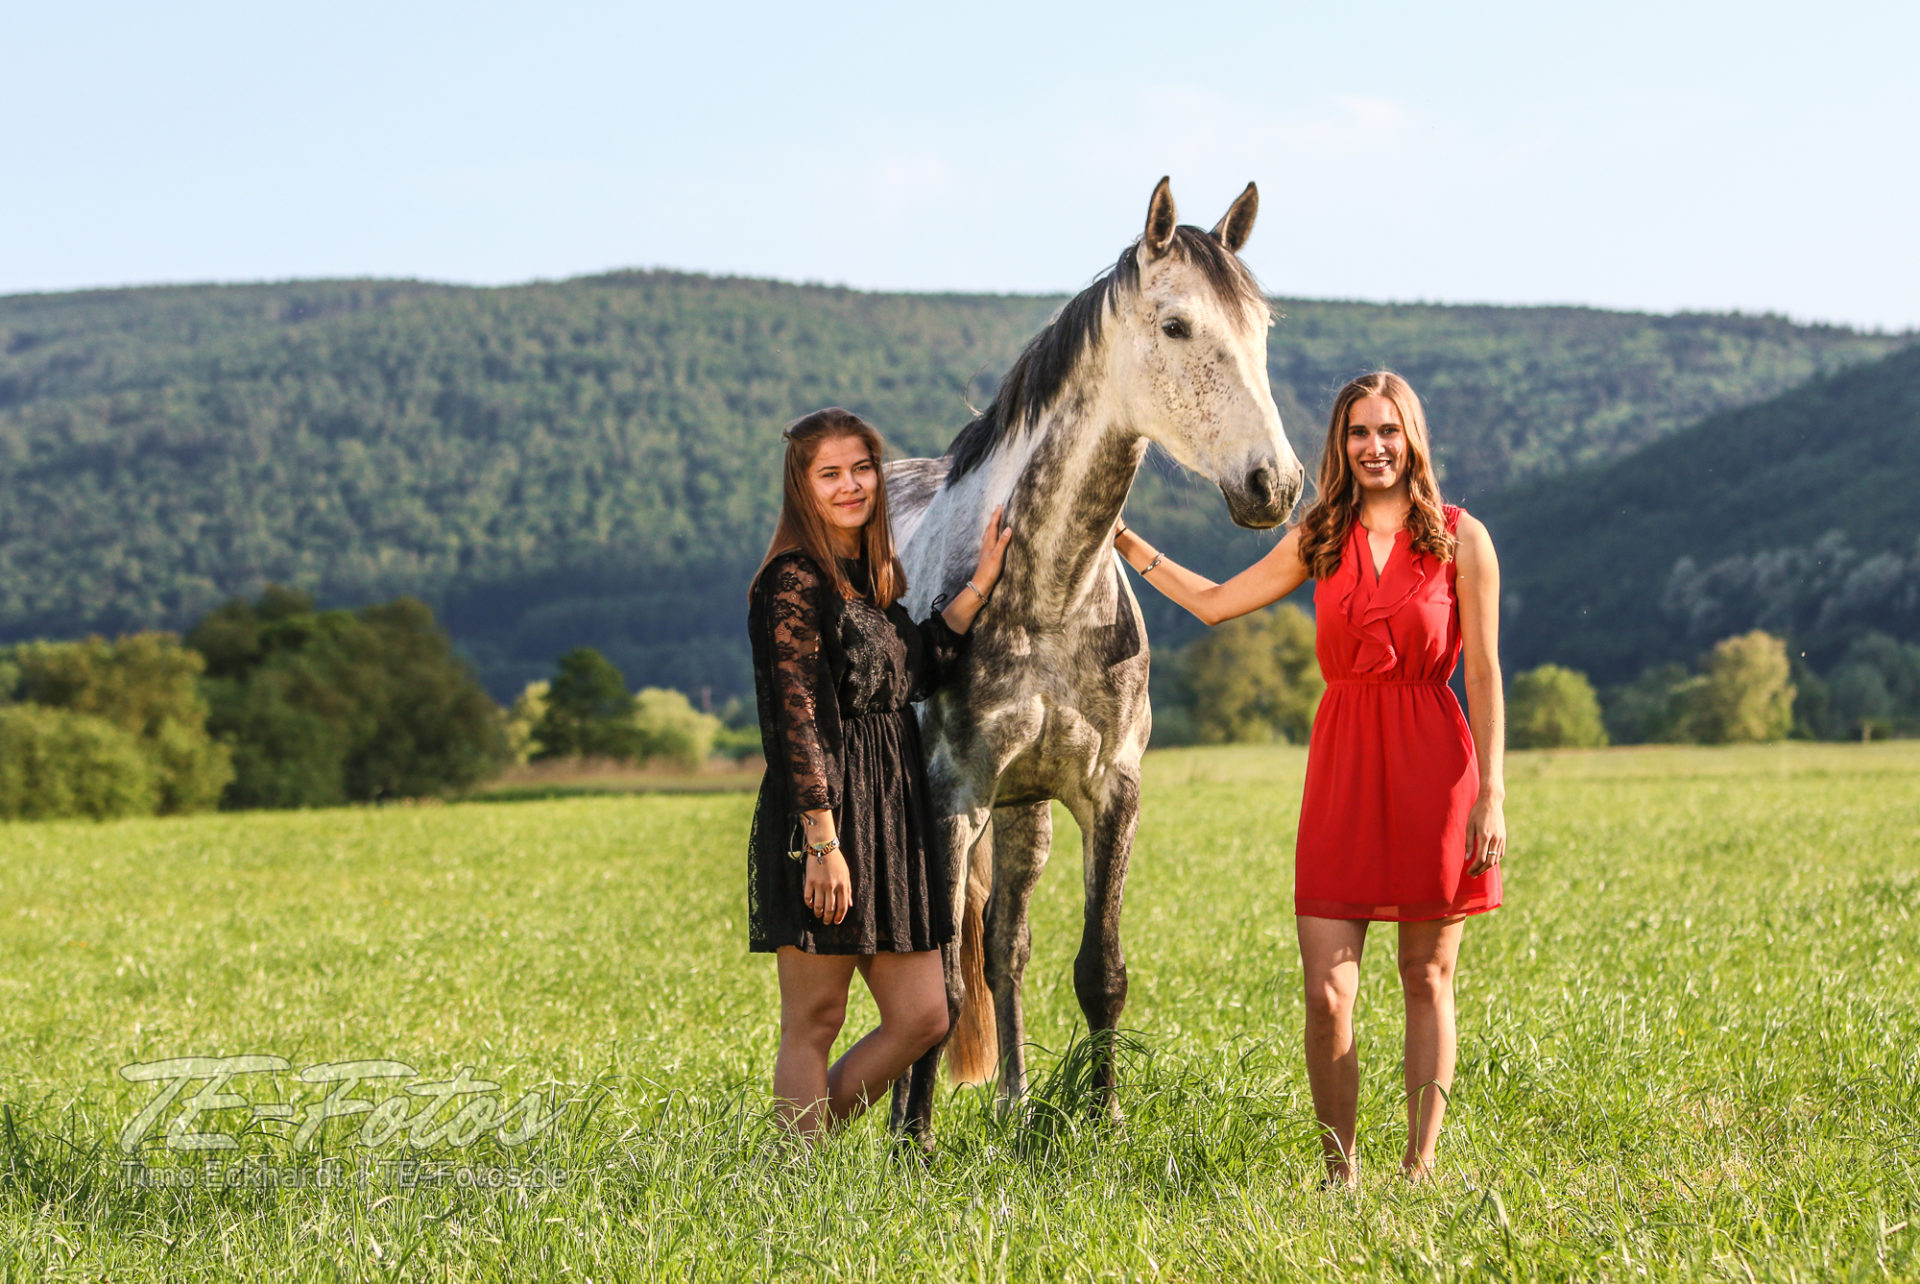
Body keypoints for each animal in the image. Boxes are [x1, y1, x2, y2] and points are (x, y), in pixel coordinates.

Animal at [884, 177, 1305, 1143]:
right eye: (1177, 325)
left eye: (1263, 328)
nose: (1275, 485)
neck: (1050, 593)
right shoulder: (951, 796)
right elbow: (939, 981)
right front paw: (913, 1141)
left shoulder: (1109, 790)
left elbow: (1096, 969)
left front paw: (1103, 1119)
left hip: (1024, 814)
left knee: (1005, 944)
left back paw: (1012, 1100)